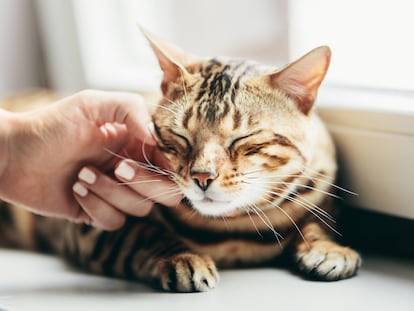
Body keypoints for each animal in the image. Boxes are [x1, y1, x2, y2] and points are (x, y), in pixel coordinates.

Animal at [0, 30, 360, 292]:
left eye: (242, 139)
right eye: (181, 137)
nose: (202, 177)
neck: (231, 230)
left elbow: (317, 223)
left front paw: (330, 248)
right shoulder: (92, 227)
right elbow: (143, 234)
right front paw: (183, 257)